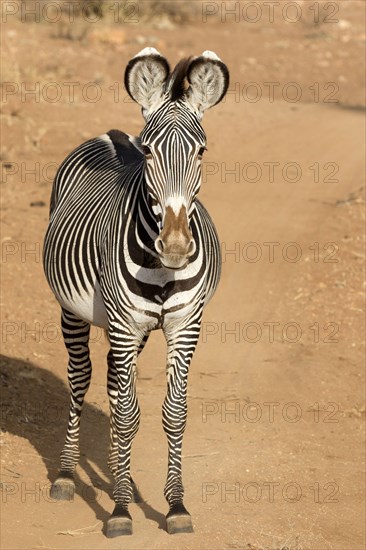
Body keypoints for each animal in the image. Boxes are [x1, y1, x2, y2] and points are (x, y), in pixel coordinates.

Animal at [43, 47, 229, 540]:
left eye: (202, 150)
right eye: (149, 151)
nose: (177, 246)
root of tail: (112, 134)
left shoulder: (184, 326)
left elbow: (171, 412)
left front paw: (175, 505)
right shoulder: (124, 323)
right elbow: (126, 415)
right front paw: (121, 510)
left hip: (133, 330)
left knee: (113, 384)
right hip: (75, 312)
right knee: (81, 377)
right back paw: (67, 475)